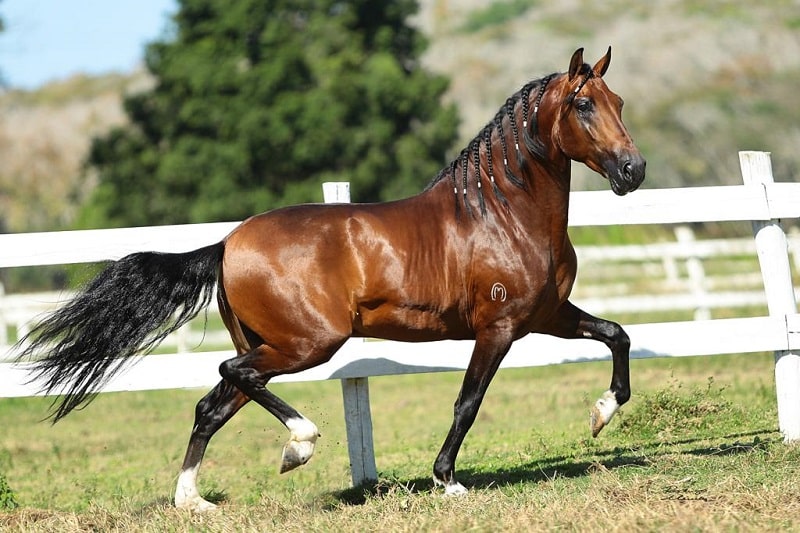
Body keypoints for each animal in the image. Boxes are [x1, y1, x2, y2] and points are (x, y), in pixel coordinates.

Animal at [17, 47, 644, 510]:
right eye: (583, 104)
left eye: (617, 100)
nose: (633, 170)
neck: (501, 215)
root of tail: (227, 244)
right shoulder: (501, 327)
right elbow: (467, 401)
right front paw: (448, 480)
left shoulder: (547, 315)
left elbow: (617, 334)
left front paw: (601, 414)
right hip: (307, 343)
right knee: (232, 375)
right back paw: (299, 445)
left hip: (273, 343)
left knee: (213, 403)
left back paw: (193, 501)